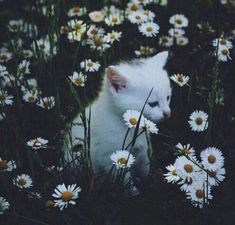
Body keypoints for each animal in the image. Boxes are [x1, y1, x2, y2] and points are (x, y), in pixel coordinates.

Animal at [63, 50, 172, 181]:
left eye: (168, 98)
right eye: (153, 104)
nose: (167, 113)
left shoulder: (142, 150)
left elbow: (145, 168)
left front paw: (149, 180)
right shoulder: (110, 157)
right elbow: (124, 179)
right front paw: (134, 186)